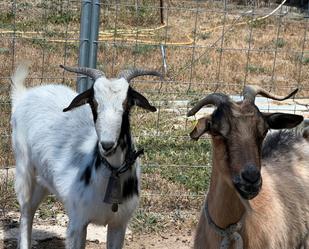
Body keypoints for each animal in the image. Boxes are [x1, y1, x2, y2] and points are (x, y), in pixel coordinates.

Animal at [10, 63, 161, 248]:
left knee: (31, 208)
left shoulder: (119, 224)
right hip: (23, 169)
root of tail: (24, 95)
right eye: (93, 102)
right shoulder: (77, 222)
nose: (107, 144)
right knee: (25, 210)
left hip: (42, 180)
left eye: (127, 102)